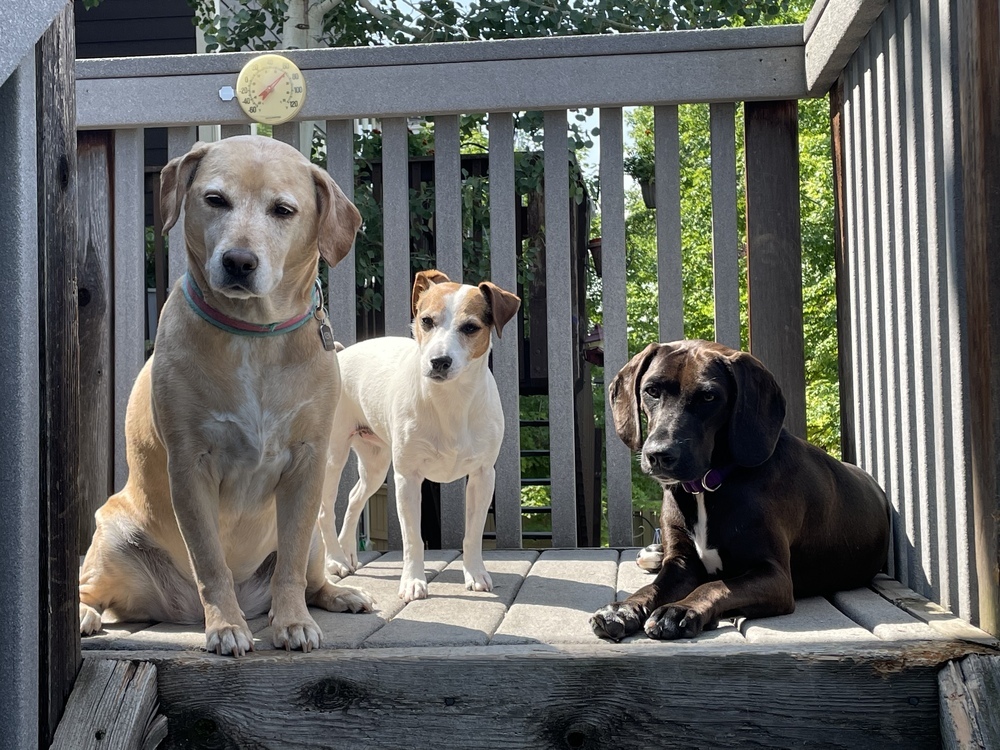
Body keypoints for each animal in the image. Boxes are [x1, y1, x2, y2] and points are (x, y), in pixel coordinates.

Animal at [79, 138, 376, 656]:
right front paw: (225, 627)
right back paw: (85, 614)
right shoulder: (190, 468)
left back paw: (336, 594)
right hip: (114, 538)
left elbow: (290, 563)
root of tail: (177, 611)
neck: (253, 333)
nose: (239, 260)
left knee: (309, 573)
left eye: (283, 210)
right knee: (89, 588)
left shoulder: (307, 465)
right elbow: (210, 562)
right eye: (215, 199)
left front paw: (293, 621)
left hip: (315, 541)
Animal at [322, 270, 524, 604]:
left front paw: (475, 573)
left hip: (375, 464)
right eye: (426, 320)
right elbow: (412, 539)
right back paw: (335, 560)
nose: (439, 361)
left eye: (471, 327)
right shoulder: (408, 478)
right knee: (325, 509)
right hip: (333, 455)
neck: (450, 402)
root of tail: (342, 354)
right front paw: (413, 582)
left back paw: (348, 552)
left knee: (353, 499)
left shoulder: (483, 476)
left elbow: (473, 533)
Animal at [588, 340, 888, 640]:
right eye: (651, 390)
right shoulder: (681, 565)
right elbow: (653, 588)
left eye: (709, 397)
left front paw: (679, 610)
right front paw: (622, 609)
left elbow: (714, 586)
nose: (659, 454)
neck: (709, 485)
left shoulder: (775, 576)